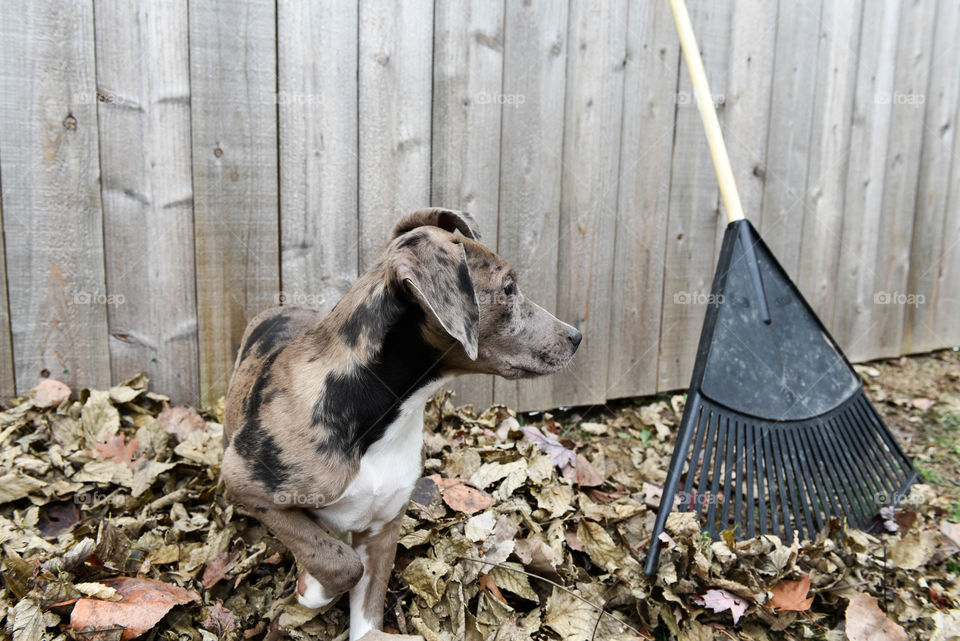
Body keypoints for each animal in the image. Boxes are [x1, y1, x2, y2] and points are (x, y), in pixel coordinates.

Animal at [221, 210, 580, 640]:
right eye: (508, 288)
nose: (577, 337)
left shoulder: (384, 527)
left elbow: (363, 596)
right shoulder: (246, 482)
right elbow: (337, 559)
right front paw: (312, 589)